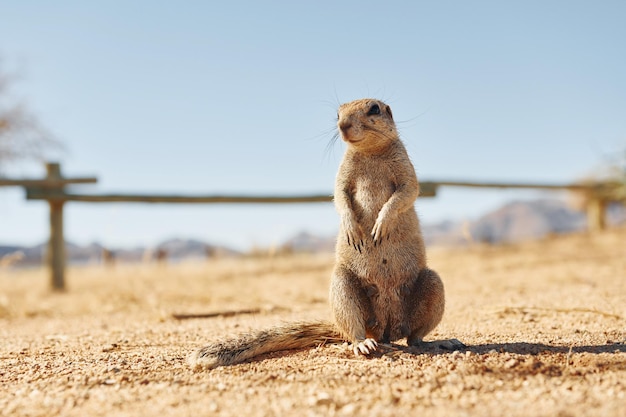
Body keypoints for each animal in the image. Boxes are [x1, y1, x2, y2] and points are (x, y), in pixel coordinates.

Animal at [188, 98, 460, 370]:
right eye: (338, 113)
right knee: (357, 332)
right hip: (343, 286)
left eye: (374, 108)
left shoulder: (405, 168)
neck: (369, 151)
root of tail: (385, 331)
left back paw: (440, 342)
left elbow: (407, 192)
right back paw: (363, 344)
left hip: (433, 285)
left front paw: (382, 223)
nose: (343, 125)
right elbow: (339, 196)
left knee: (415, 338)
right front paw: (352, 227)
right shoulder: (343, 174)